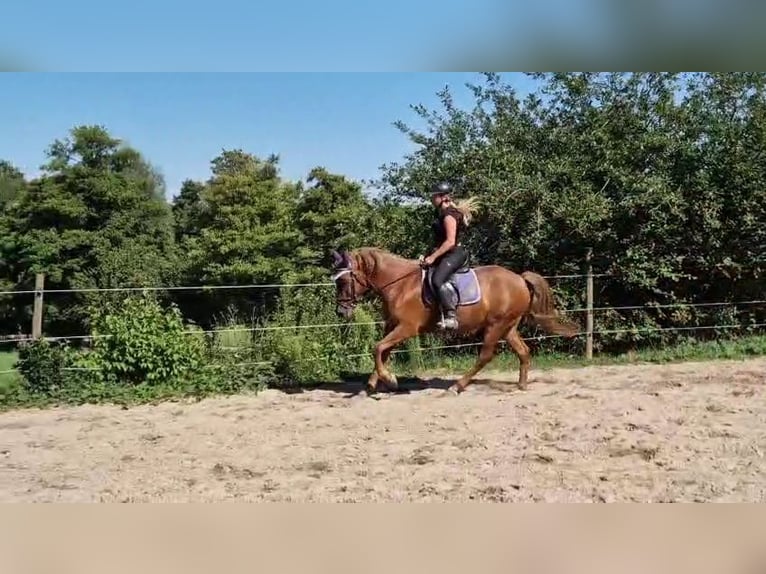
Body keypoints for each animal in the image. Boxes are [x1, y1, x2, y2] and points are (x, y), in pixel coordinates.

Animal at [329, 246, 580, 395]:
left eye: (343, 282)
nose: (341, 312)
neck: (400, 284)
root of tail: (519, 278)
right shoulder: (392, 325)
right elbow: (382, 351)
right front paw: (372, 385)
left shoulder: (407, 328)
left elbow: (378, 348)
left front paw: (389, 381)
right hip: (508, 326)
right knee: (523, 352)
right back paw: (521, 385)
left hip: (495, 326)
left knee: (485, 356)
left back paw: (456, 386)